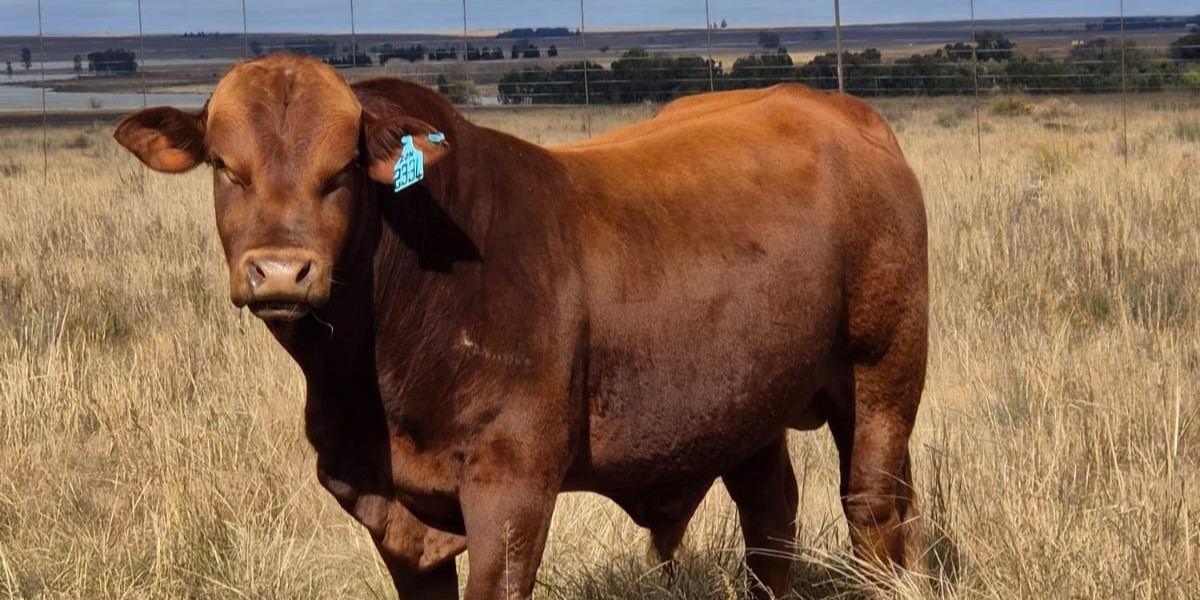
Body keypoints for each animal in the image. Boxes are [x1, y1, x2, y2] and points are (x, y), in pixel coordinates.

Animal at [113, 53, 927, 600]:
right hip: (745, 403)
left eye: (340, 170)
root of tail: (832, 106)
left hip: (883, 372)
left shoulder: (512, 488)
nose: (281, 272)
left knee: (873, 505)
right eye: (226, 166)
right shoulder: (391, 514)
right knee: (770, 517)